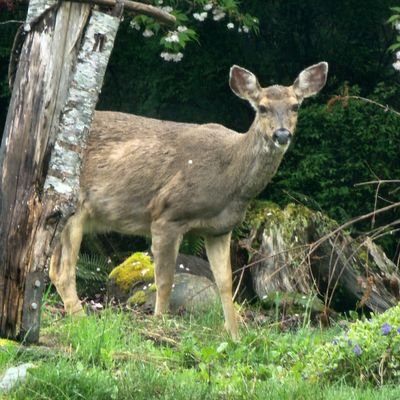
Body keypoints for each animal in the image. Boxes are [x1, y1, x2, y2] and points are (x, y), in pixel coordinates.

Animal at [49, 61, 328, 340]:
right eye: (262, 107)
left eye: (295, 106)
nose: (282, 135)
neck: (231, 180)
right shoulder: (167, 214)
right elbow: (164, 280)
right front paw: (159, 325)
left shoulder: (220, 229)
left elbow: (226, 283)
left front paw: (234, 335)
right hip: (74, 207)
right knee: (64, 271)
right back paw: (82, 321)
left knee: (53, 268)